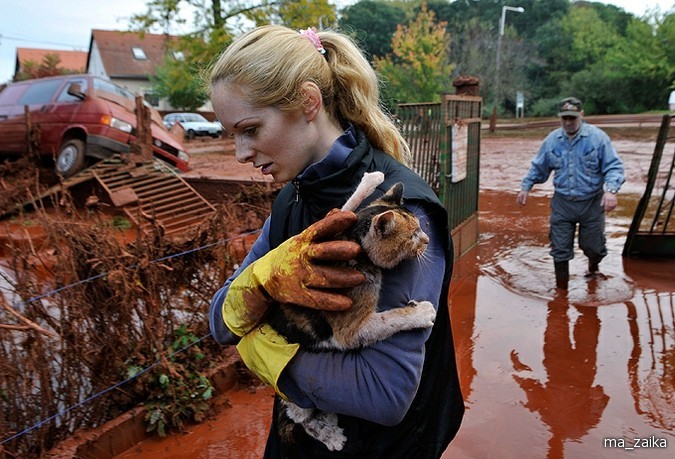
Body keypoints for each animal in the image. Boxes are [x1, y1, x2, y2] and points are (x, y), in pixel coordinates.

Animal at [264, 171, 438, 452]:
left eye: (420, 228)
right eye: (413, 235)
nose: (428, 239)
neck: (353, 239)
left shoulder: (327, 234)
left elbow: (347, 208)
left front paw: (371, 179)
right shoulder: (350, 330)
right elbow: (390, 318)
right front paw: (421, 312)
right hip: (293, 397)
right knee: (300, 418)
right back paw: (331, 435)